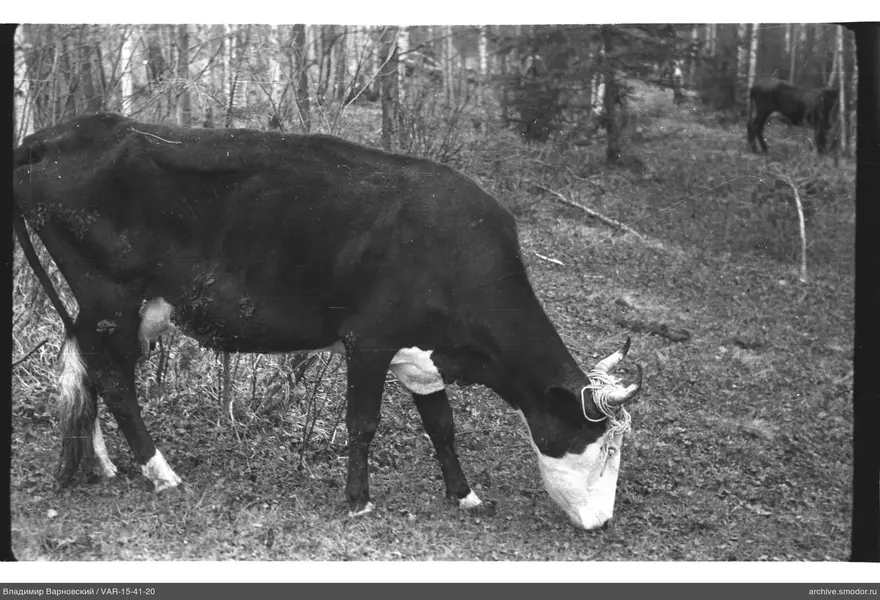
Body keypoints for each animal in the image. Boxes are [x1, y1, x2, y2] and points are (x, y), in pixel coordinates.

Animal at [12, 113, 643, 531]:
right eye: (601, 443)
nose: (605, 523)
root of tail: (58, 133)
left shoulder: (424, 355)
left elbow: (442, 426)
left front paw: (463, 496)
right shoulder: (370, 339)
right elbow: (363, 422)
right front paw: (358, 500)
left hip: (121, 310)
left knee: (91, 368)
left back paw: (102, 464)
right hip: (110, 297)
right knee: (115, 380)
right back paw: (160, 471)